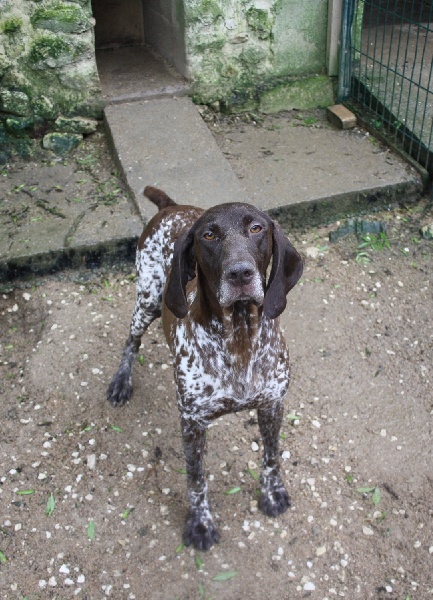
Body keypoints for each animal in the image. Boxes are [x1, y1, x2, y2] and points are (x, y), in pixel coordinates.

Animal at [109, 185, 300, 552]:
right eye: (209, 235)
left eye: (256, 228)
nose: (240, 273)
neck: (239, 336)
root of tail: (171, 206)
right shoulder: (192, 423)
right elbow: (196, 479)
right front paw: (200, 523)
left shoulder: (272, 405)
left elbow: (271, 456)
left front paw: (272, 493)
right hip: (147, 299)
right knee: (131, 340)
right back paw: (121, 381)